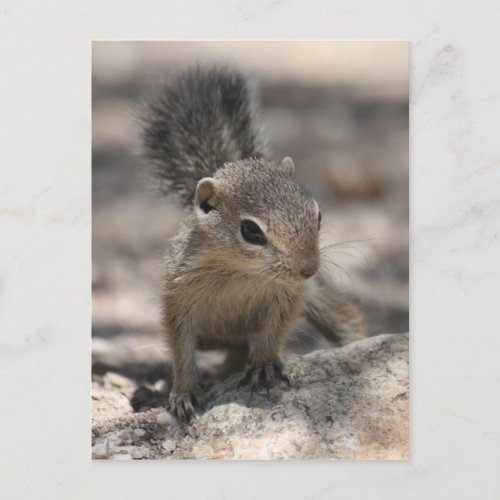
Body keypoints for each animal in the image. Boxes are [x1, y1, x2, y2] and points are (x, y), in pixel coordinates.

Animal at [140, 64, 364, 420]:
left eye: (316, 214)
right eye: (251, 231)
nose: (309, 269)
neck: (242, 273)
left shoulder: (289, 295)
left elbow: (275, 330)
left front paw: (263, 364)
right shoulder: (178, 298)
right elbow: (180, 346)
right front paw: (184, 392)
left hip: (319, 303)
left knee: (342, 318)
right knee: (232, 349)